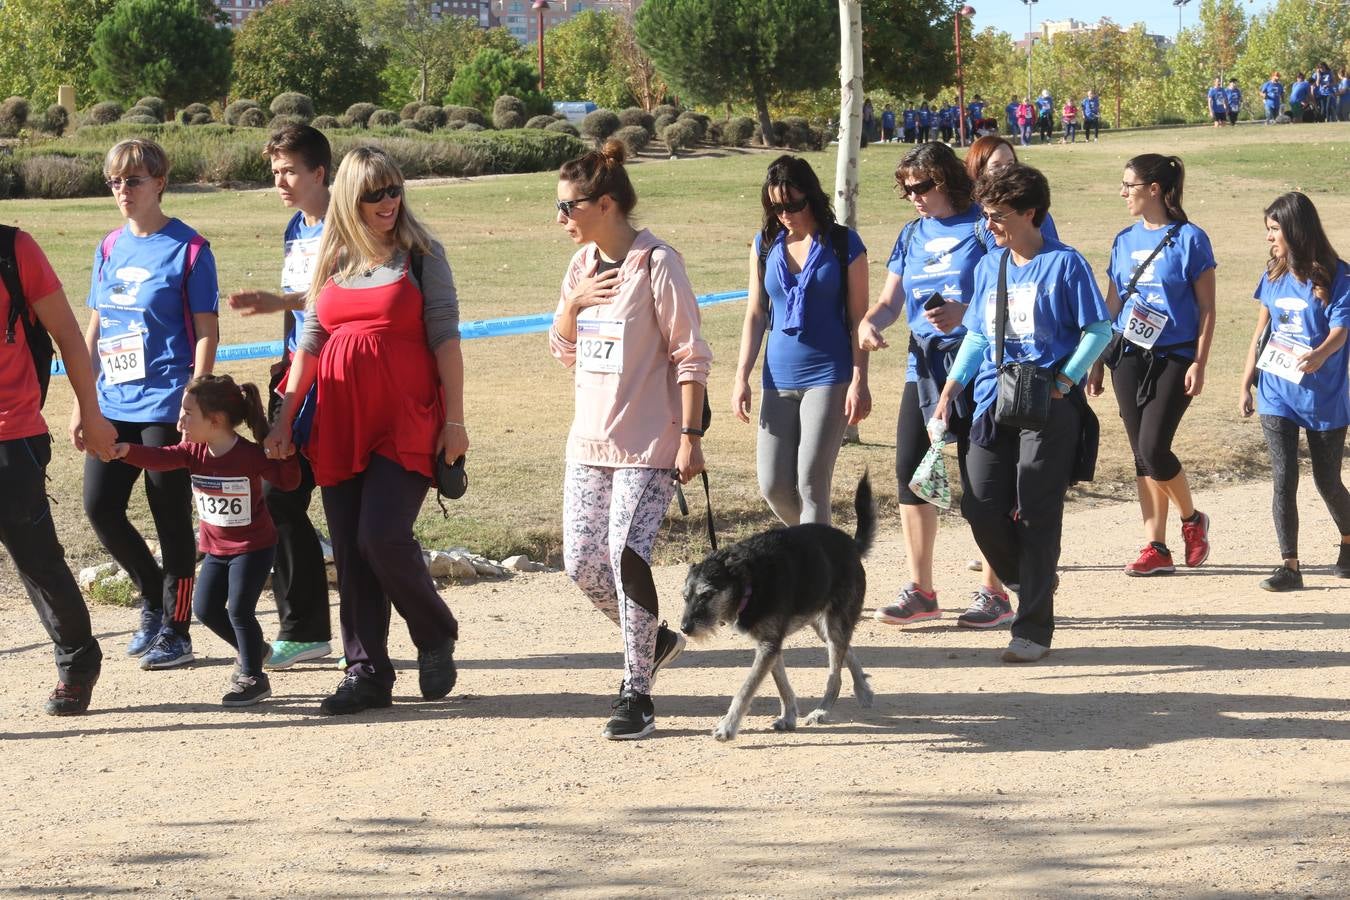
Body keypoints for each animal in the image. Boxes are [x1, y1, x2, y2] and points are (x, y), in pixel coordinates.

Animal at [685, 474, 874, 744]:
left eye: (707, 594)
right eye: (685, 597)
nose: (685, 628)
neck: (750, 582)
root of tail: (851, 544)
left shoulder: (768, 646)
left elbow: (746, 689)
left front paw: (728, 727)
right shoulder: (770, 645)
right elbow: (782, 685)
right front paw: (788, 716)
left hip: (834, 624)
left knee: (835, 675)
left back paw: (822, 710)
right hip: (822, 624)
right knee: (847, 652)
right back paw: (863, 689)